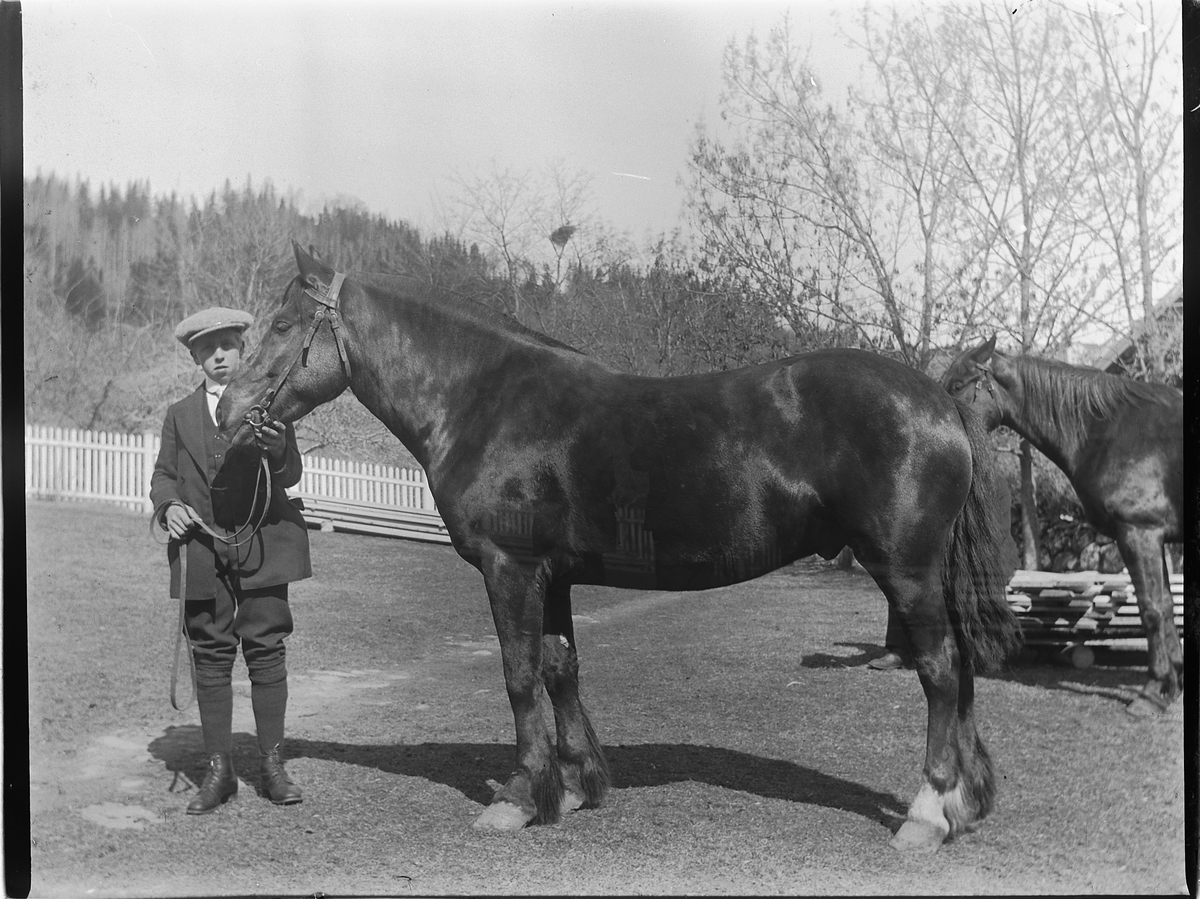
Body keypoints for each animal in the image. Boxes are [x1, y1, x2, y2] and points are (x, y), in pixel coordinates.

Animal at [218, 243, 1022, 849]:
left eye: (285, 324)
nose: (227, 410)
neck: (484, 400)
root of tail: (937, 399)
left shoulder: (511, 569)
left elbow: (517, 675)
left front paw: (520, 798)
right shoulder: (553, 576)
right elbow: (560, 668)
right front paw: (576, 787)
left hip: (906, 570)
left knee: (940, 670)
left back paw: (928, 813)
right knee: (960, 670)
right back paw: (967, 803)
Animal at [945, 336, 1180, 715]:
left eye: (957, 385)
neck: (1109, 430)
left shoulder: (1139, 534)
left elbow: (1152, 610)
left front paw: (1151, 692)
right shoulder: (1153, 539)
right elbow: (1168, 608)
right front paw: (1171, 687)